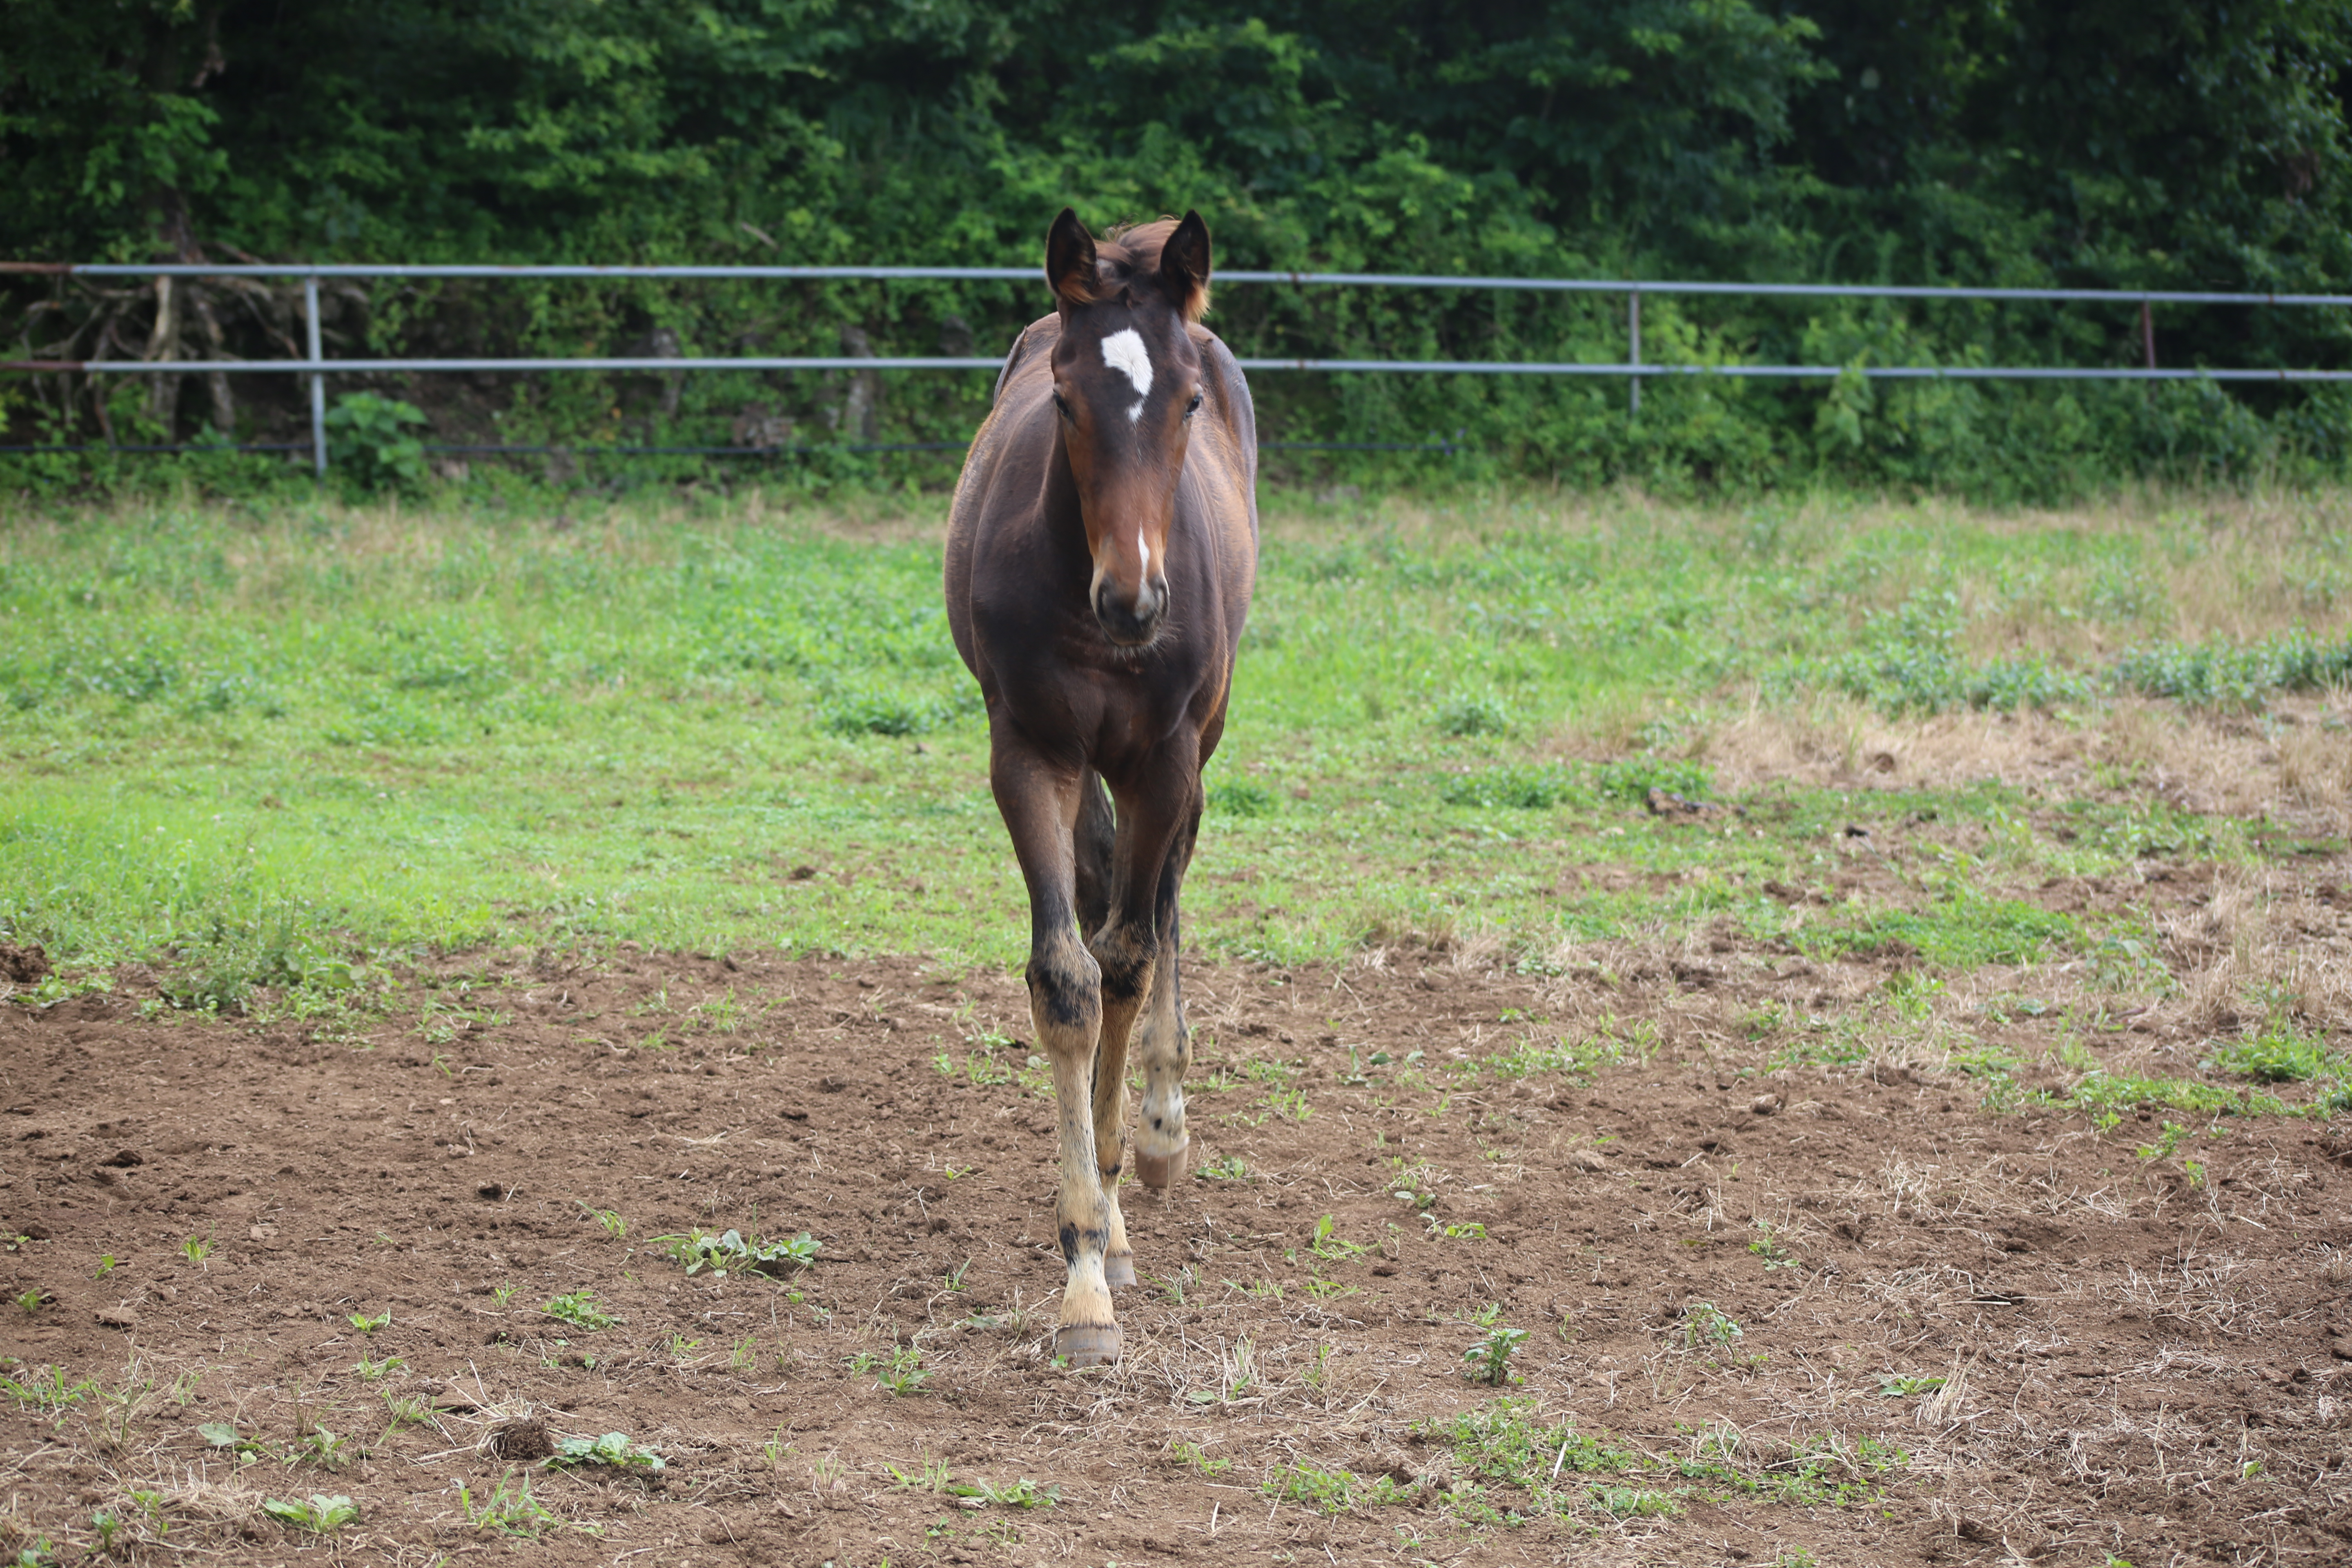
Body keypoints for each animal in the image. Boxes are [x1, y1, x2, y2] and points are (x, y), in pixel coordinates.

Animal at [941, 208, 1261, 1363]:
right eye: (1066, 399)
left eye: (1187, 403)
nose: (1133, 600)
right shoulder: (1031, 754)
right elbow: (1067, 976)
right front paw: (1083, 1276)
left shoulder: (1165, 757)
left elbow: (1128, 955)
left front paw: (1118, 1210)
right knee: (1104, 881)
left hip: (1199, 741)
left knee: (1162, 897)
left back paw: (1164, 1128)